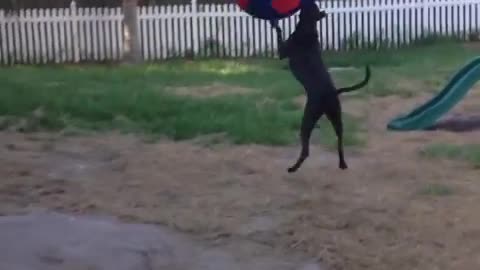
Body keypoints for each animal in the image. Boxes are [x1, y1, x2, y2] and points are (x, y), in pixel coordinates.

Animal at [272, 2, 370, 173]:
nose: (310, 1)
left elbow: (279, 35)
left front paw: (276, 23)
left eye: (312, 6)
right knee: (340, 141)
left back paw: (293, 168)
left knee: (306, 150)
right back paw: (342, 163)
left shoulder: (283, 52)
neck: (309, 26)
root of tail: (333, 92)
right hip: (336, 118)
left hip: (308, 119)